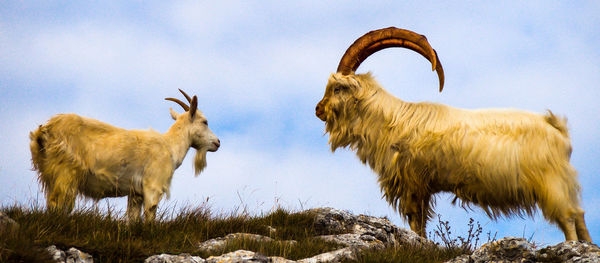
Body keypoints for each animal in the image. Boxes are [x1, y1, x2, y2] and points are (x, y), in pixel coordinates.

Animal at [28, 89, 220, 222]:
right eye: (205, 122)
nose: (217, 142)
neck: (169, 146)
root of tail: (44, 130)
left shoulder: (135, 193)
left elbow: (133, 218)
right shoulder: (153, 186)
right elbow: (150, 214)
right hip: (65, 171)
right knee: (57, 203)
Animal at [314, 26, 592, 241]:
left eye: (337, 88)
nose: (318, 109)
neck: (393, 121)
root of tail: (557, 129)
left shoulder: (414, 183)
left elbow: (416, 222)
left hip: (551, 184)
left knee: (568, 219)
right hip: (562, 184)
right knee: (579, 216)